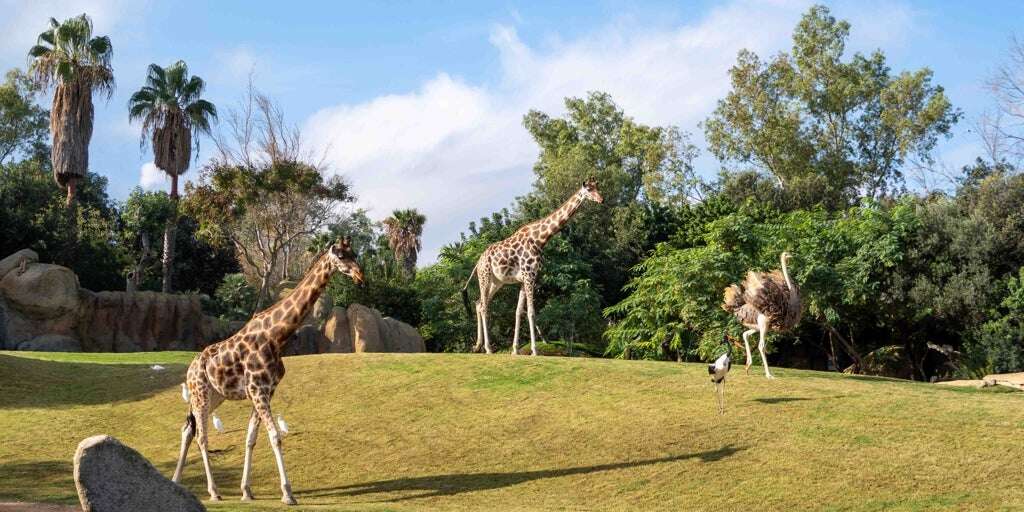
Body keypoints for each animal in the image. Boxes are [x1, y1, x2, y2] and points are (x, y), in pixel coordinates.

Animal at [174, 238, 366, 503]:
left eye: (353, 253)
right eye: (340, 256)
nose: (360, 275)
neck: (276, 336)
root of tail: (190, 369)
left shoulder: (266, 390)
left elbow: (251, 439)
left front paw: (247, 491)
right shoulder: (258, 390)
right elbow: (275, 437)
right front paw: (288, 493)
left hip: (214, 396)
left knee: (187, 430)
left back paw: (176, 481)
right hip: (201, 393)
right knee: (201, 436)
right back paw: (214, 491)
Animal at [462, 179, 598, 356]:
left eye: (598, 187)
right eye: (589, 190)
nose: (601, 199)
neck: (540, 239)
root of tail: (478, 263)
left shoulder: (523, 279)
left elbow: (518, 311)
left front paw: (515, 350)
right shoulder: (529, 275)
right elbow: (531, 312)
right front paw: (534, 350)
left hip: (497, 282)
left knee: (479, 303)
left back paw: (478, 345)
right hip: (484, 276)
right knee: (484, 306)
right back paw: (488, 348)